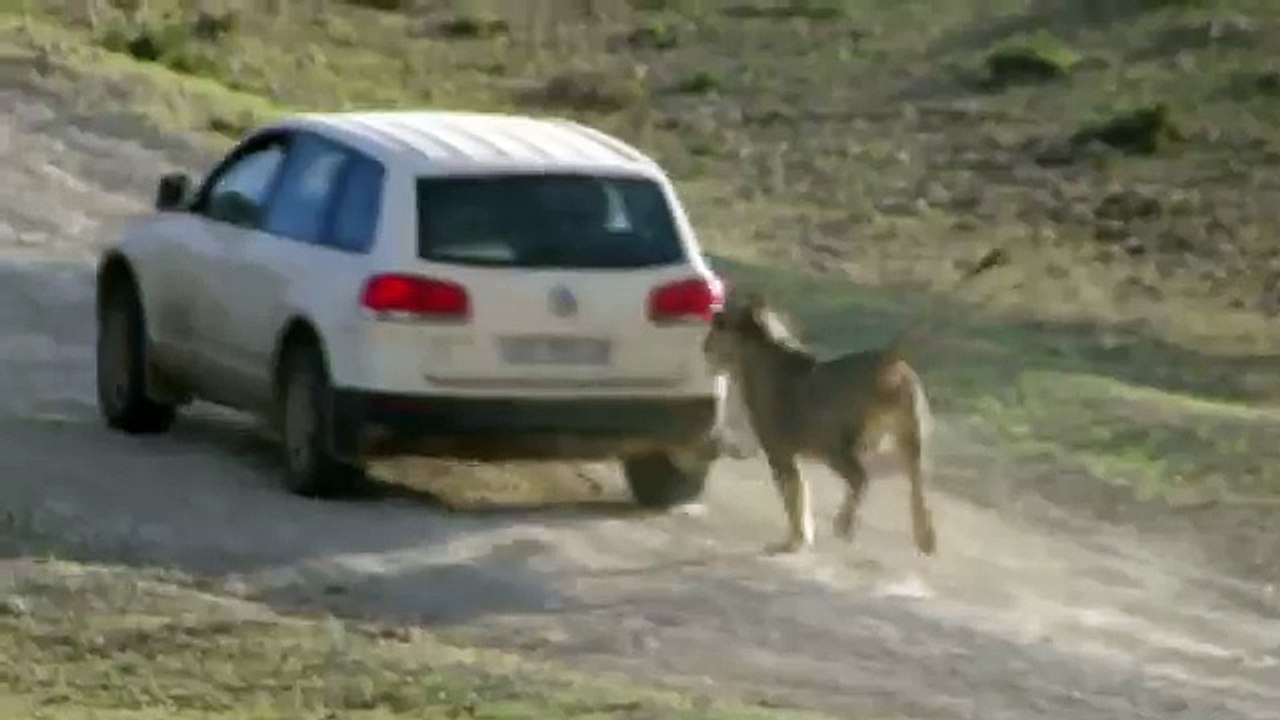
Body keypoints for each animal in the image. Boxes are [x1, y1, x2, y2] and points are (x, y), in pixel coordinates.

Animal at [702, 249, 1009, 555]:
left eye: (719, 323)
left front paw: (794, 541)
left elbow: (795, 502)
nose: (704, 345)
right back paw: (925, 538)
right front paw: (800, 539)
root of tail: (887, 358)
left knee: (861, 478)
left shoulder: (780, 454)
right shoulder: (788, 455)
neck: (760, 357)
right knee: (917, 483)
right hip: (909, 440)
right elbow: (801, 497)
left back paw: (844, 524)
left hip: (835, 444)